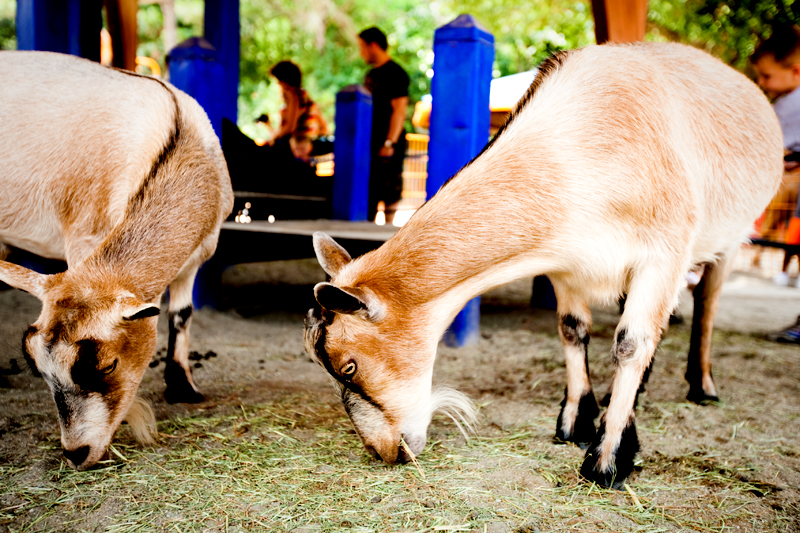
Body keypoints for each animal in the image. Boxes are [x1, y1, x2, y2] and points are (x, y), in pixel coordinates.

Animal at [0, 52, 233, 468]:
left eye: (108, 365)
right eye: (40, 370)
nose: (77, 453)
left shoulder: (196, 256)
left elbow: (182, 314)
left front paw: (183, 387)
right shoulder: (85, 235)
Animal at [304, 43, 780, 488]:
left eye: (349, 366)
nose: (384, 450)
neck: (575, 155)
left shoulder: (663, 252)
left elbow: (630, 343)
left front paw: (608, 459)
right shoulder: (567, 264)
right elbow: (573, 330)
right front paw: (576, 422)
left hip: (729, 238)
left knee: (705, 303)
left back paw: (702, 387)